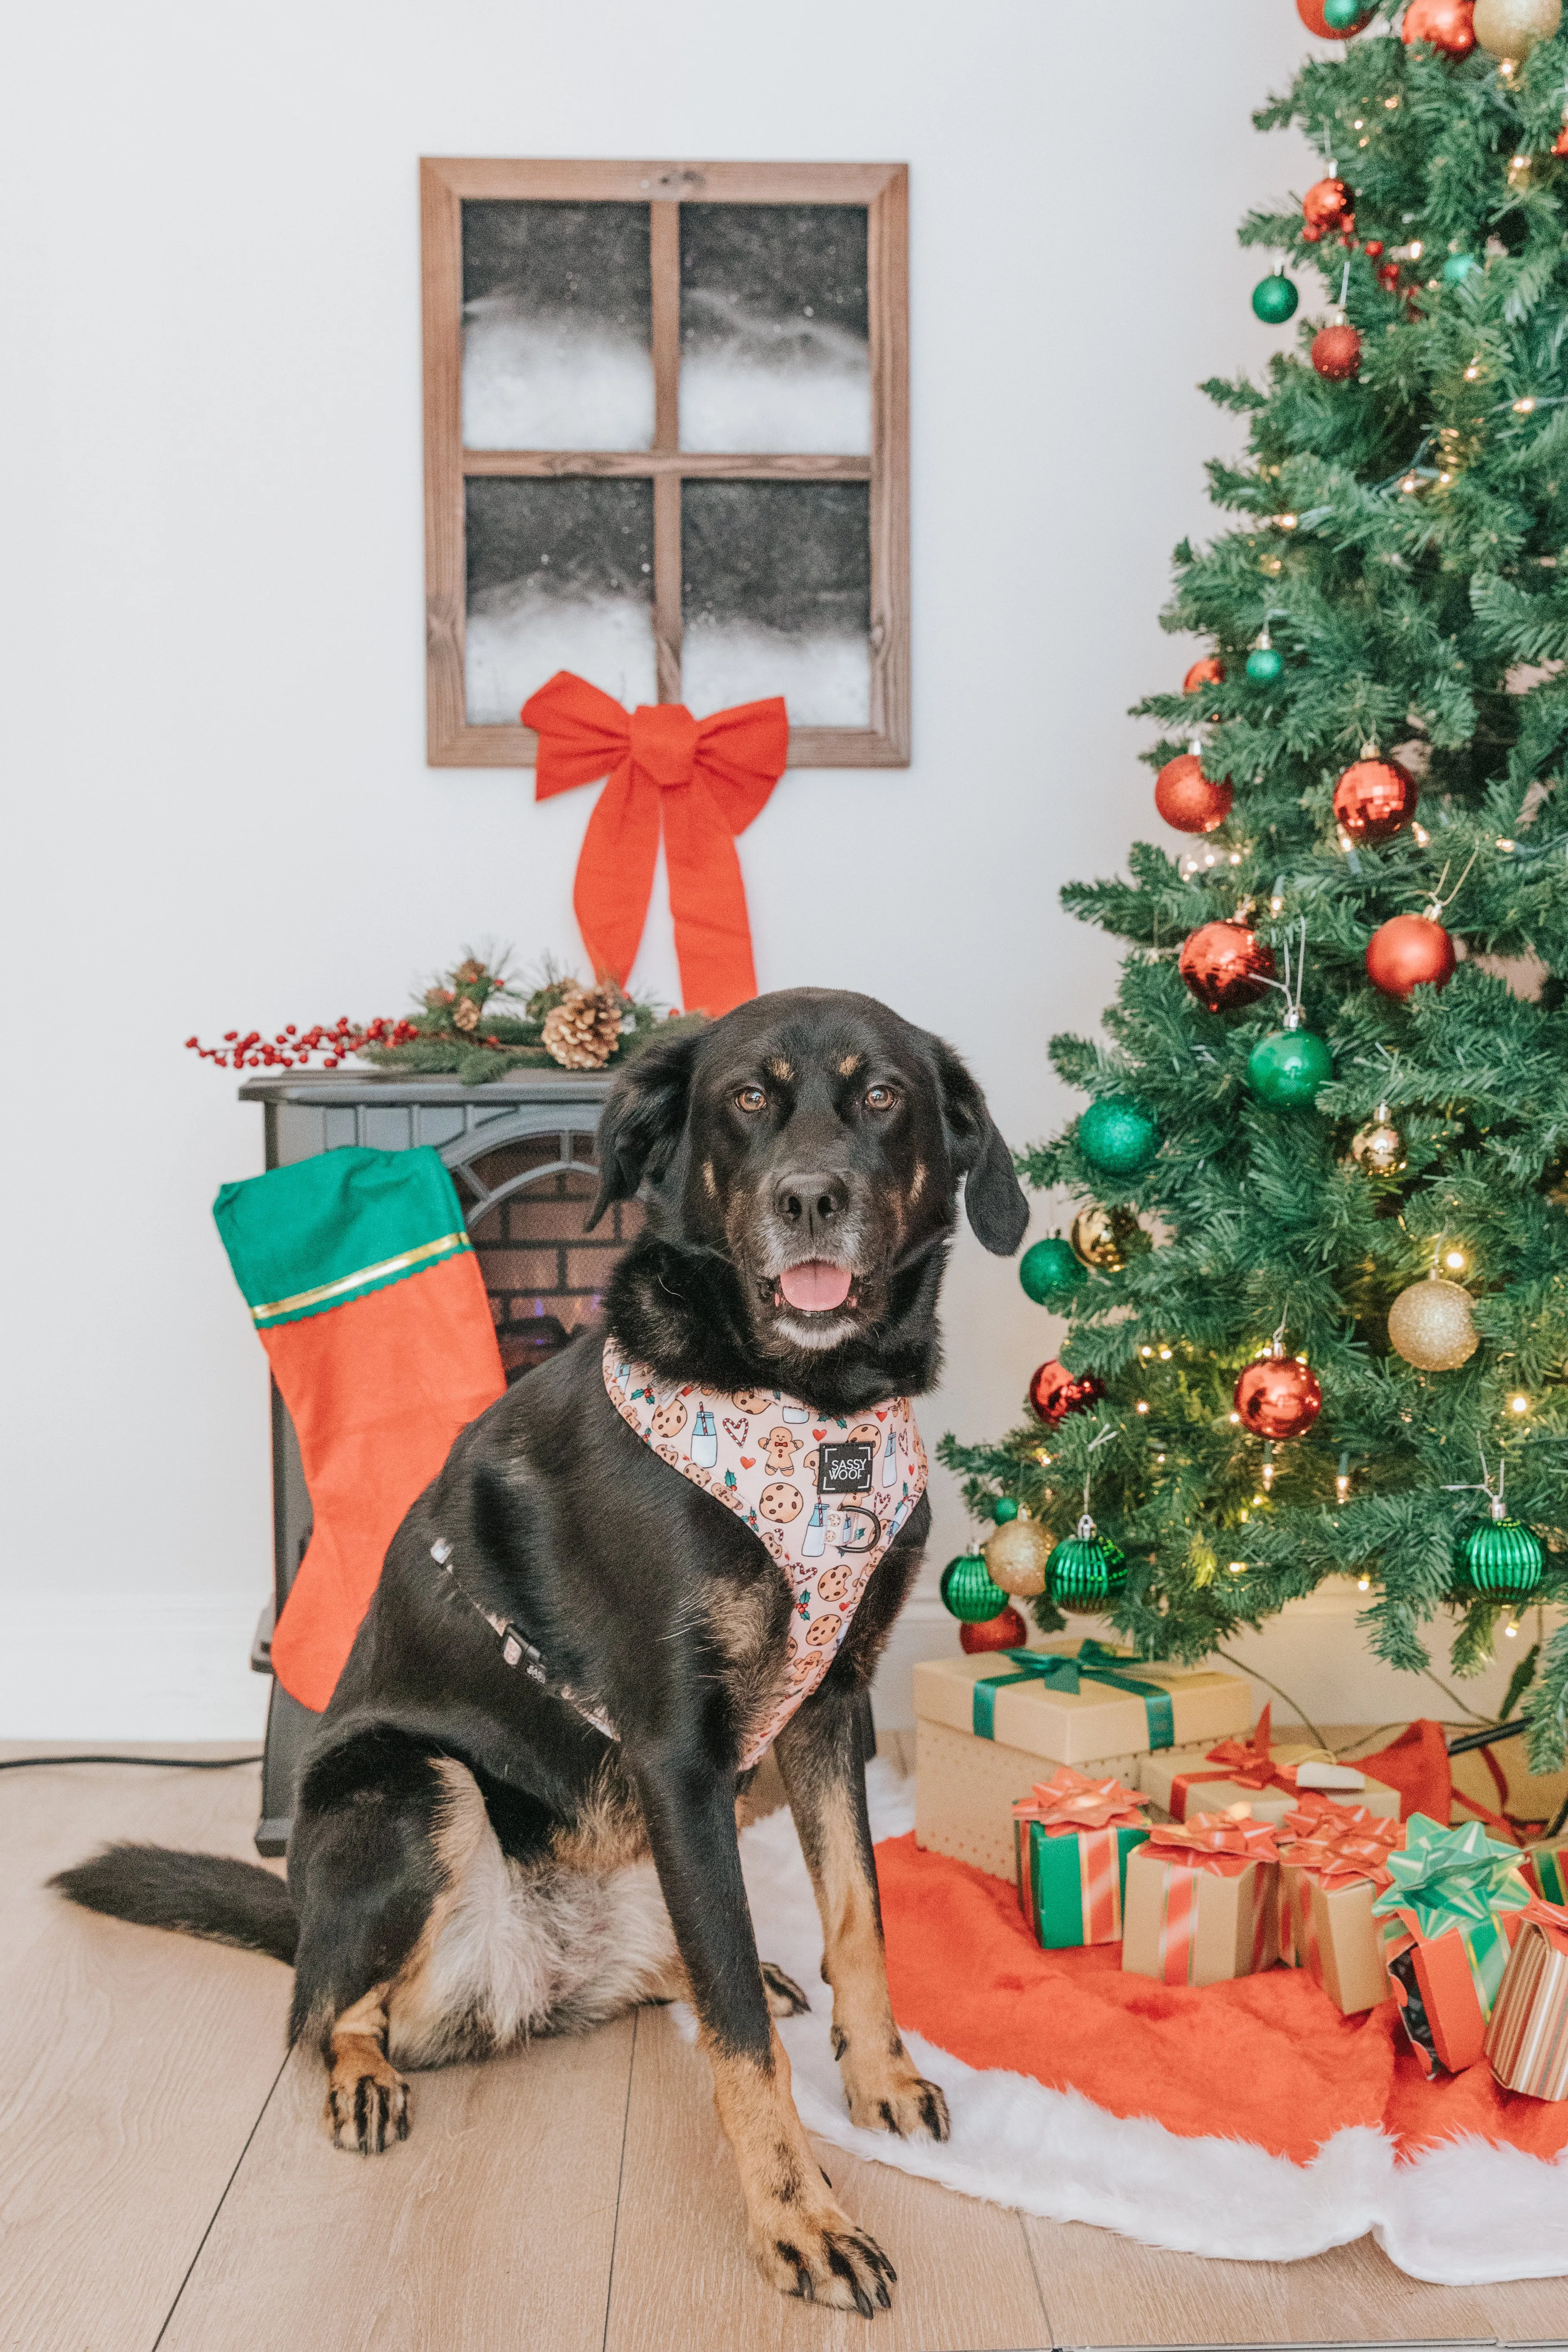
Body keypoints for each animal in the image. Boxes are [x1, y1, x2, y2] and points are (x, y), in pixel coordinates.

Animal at [55, 978, 1030, 2314]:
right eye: (747, 1099)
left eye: (881, 1095)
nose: (809, 1200)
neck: (804, 1407)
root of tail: (533, 1969)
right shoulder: (679, 1752)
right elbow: (741, 2042)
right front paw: (800, 2222)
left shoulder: (833, 1708)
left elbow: (857, 1921)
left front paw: (876, 2075)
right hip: (412, 1790)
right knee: (328, 2009)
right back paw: (362, 2068)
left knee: (678, 1961)